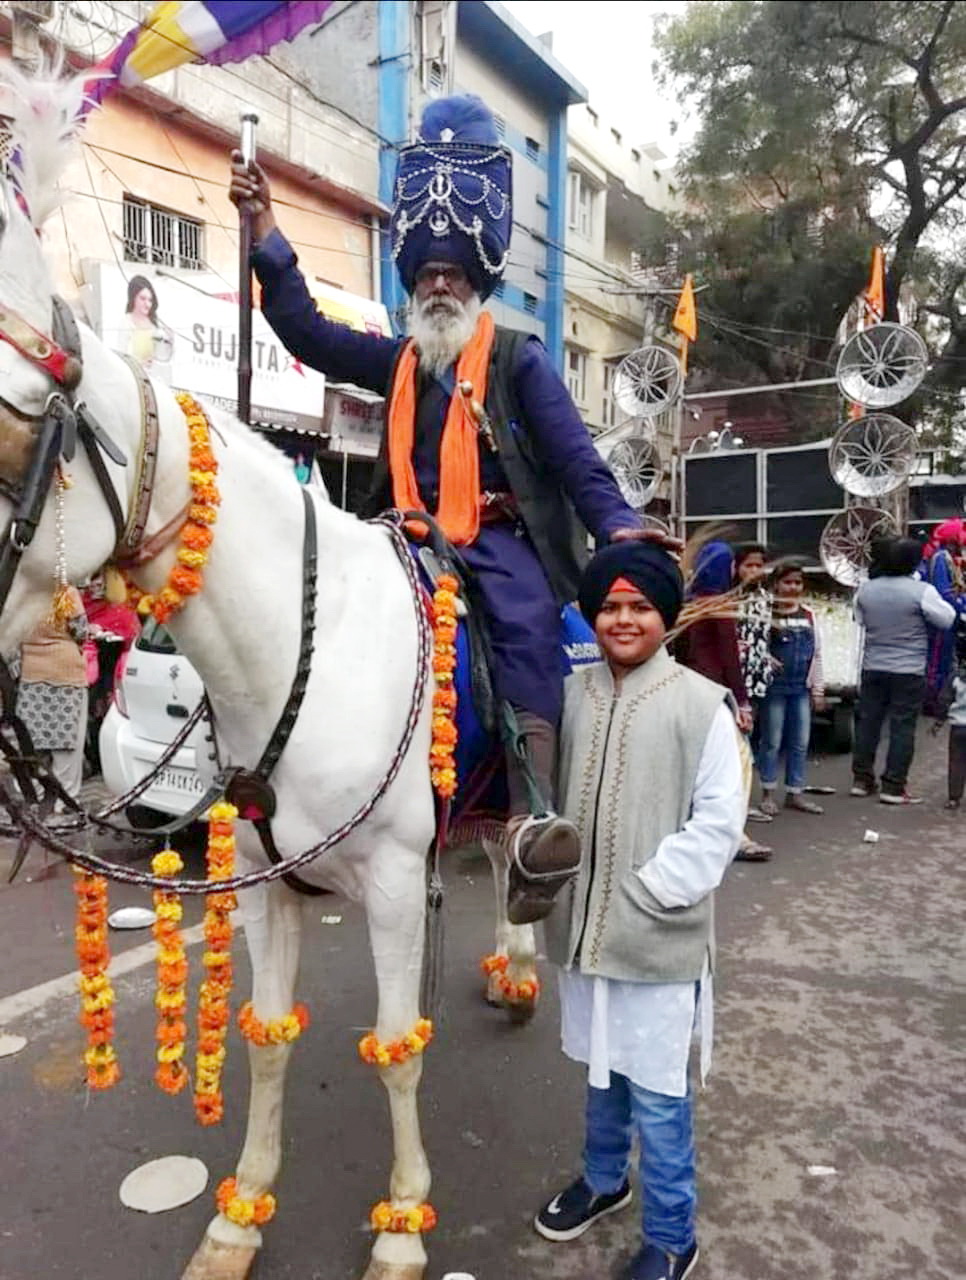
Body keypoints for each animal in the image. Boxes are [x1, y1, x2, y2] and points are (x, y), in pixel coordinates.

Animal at [0, 70, 537, 1280]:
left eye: (10, 437)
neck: (302, 651)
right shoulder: (263, 885)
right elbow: (269, 1045)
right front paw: (240, 1212)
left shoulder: (393, 883)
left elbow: (394, 1048)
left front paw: (399, 1226)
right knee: (506, 870)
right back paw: (516, 963)